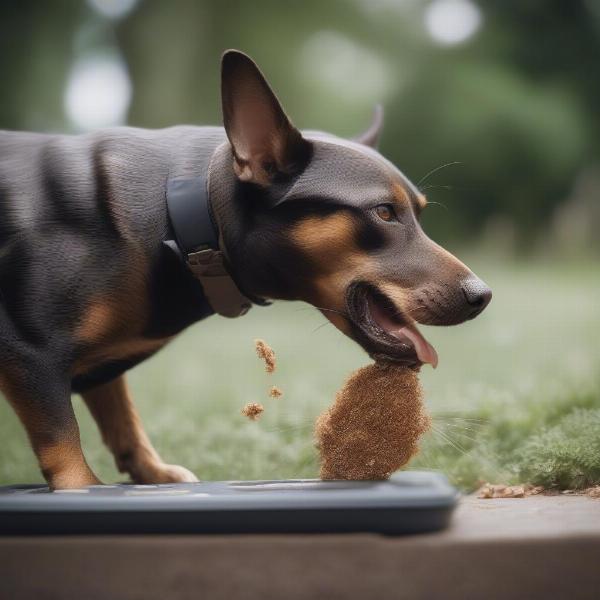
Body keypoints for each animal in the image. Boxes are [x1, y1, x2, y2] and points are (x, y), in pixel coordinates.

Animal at [0, 48, 490, 488]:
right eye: (385, 212)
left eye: (418, 213)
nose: (482, 296)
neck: (179, 221)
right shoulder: (30, 352)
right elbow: (62, 438)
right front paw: (85, 489)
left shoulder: (100, 369)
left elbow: (123, 418)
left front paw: (151, 473)